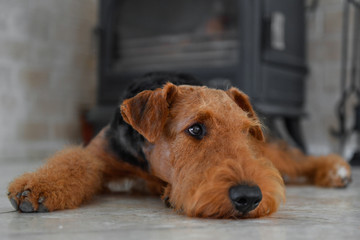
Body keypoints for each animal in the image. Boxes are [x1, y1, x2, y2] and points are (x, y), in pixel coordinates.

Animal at [7, 72, 352, 218]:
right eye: (195, 128)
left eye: (244, 132)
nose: (249, 197)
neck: (147, 165)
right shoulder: (97, 155)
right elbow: (72, 163)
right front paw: (33, 190)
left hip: (270, 148)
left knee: (298, 160)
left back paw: (336, 170)